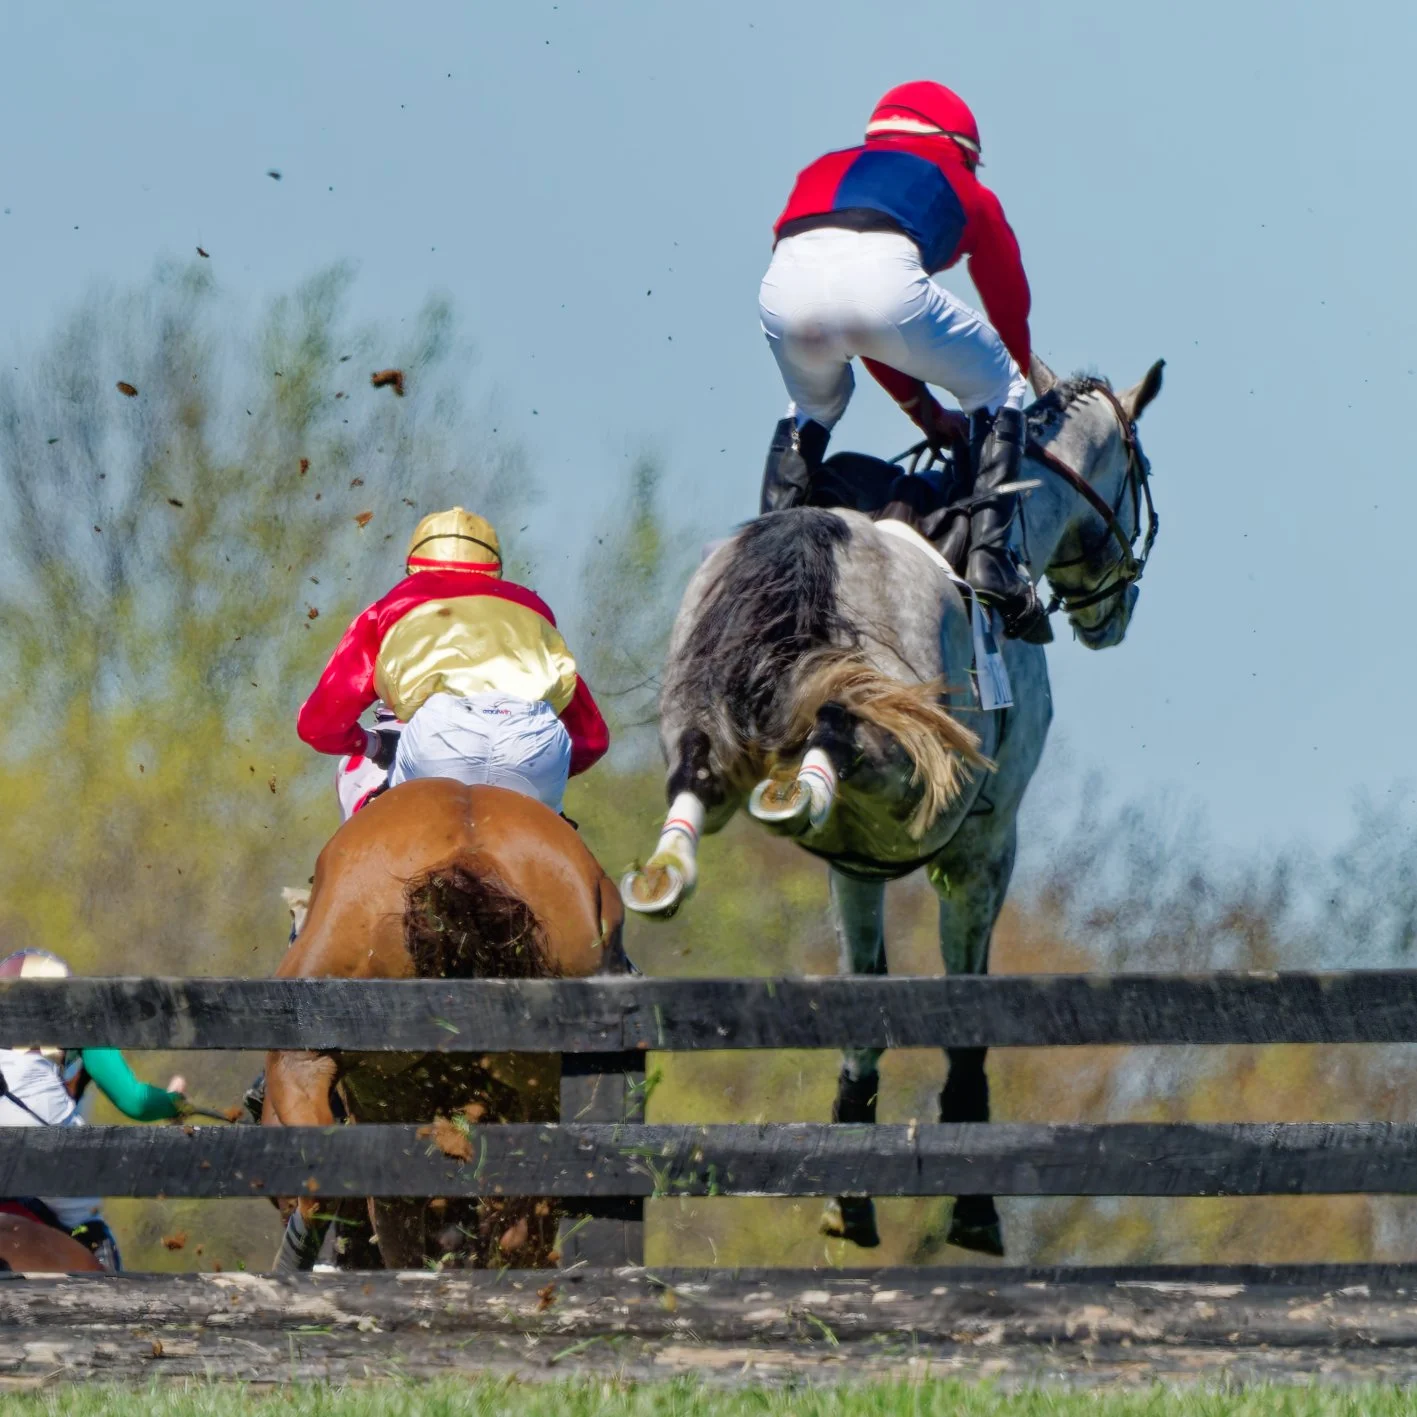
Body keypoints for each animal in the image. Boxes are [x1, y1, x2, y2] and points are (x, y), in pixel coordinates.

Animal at [622, 354, 1164, 1255]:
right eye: (1140, 470)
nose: (1114, 615)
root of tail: (812, 534)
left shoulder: (857, 864)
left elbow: (865, 1004)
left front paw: (850, 1191)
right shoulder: (981, 853)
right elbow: (964, 1013)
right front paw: (973, 1206)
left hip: (706, 719)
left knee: (699, 777)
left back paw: (673, 868)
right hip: (904, 747)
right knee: (844, 724)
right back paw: (788, 792)